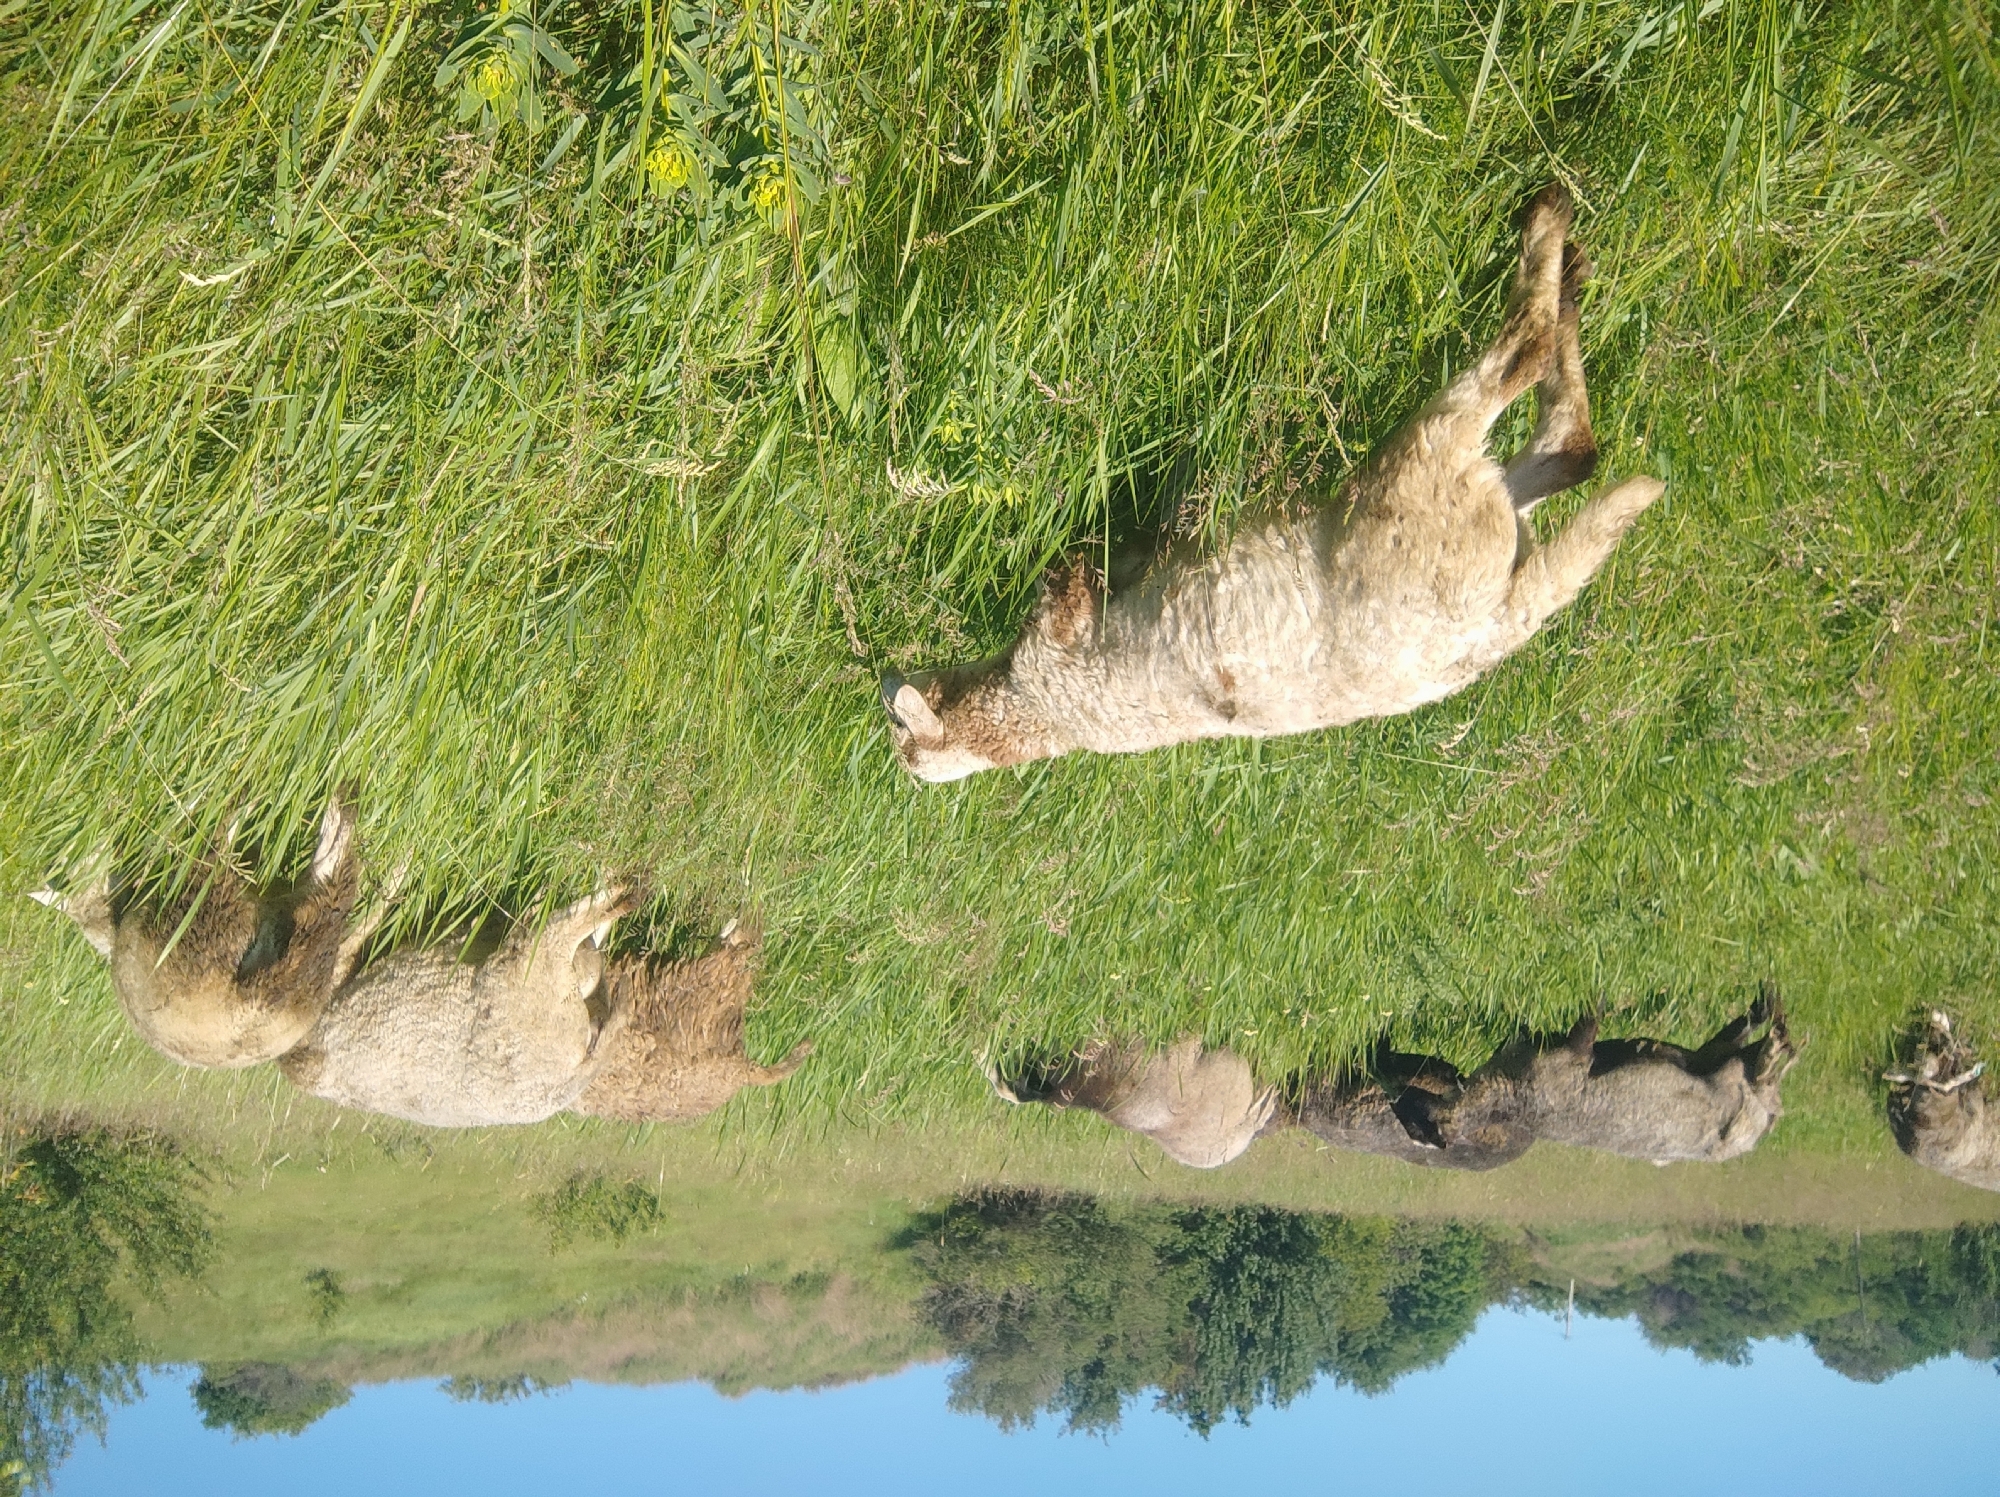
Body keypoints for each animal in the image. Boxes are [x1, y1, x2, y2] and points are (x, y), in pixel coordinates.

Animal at [883, 184, 1662, 782]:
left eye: (898, 734)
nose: (888, 689)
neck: (1033, 710)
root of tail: (1502, 618)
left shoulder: (1063, 625)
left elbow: (1087, 568)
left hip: (1416, 473)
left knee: (1533, 366)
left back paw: (1552, 231)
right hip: (1444, 484)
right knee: (1567, 440)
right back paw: (1566, 263)